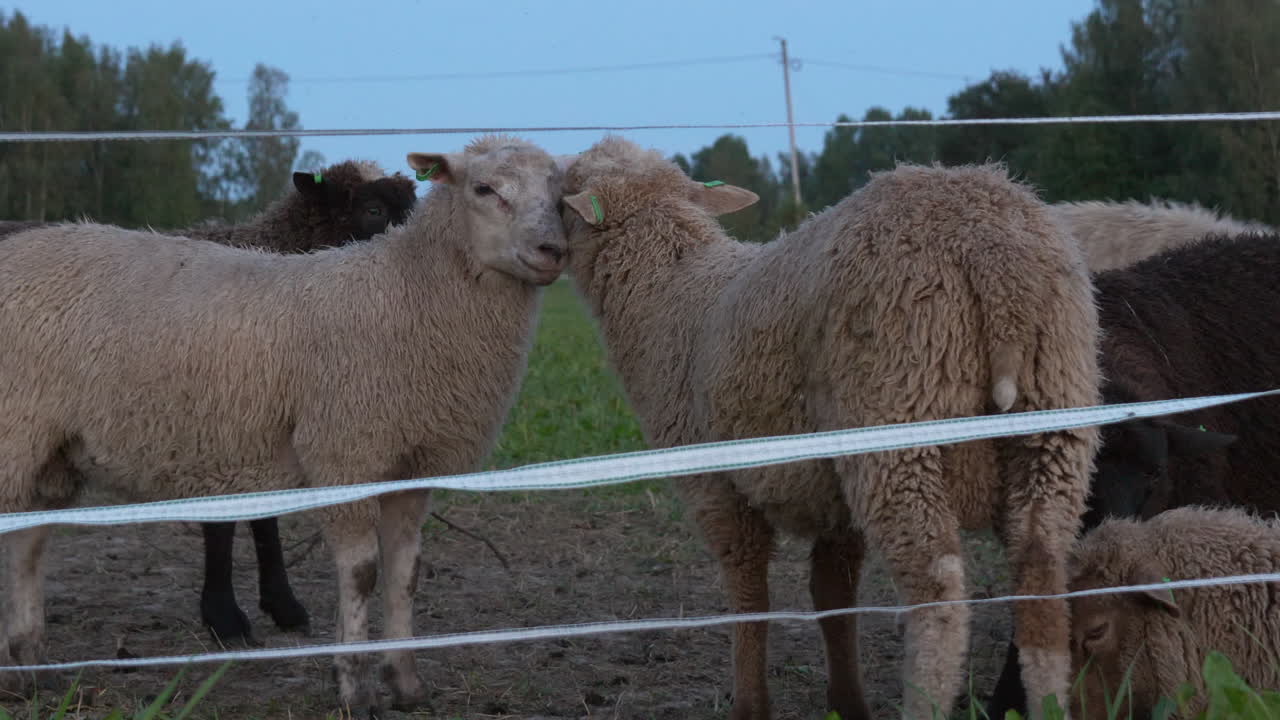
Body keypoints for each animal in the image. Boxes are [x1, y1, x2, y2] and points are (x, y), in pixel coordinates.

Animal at [0, 134, 570, 718]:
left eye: (560, 193)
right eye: (484, 189)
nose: (553, 251)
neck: (406, 292)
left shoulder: (416, 463)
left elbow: (405, 572)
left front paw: (406, 684)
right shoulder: (347, 452)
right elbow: (362, 572)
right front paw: (354, 688)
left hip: (50, 448)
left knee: (27, 541)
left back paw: (28, 664)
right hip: (14, 427)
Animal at [557, 136, 1101, 720]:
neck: (666, 292)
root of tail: (989, 250)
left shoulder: (716, 483)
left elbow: (749, 595)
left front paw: (751, 704)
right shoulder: (832, 499)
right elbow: (833, 597)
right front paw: (847, 702)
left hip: (898, 416)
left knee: (938, 593)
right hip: (1056, 416)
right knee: (1042, 572)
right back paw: (1049, 701)